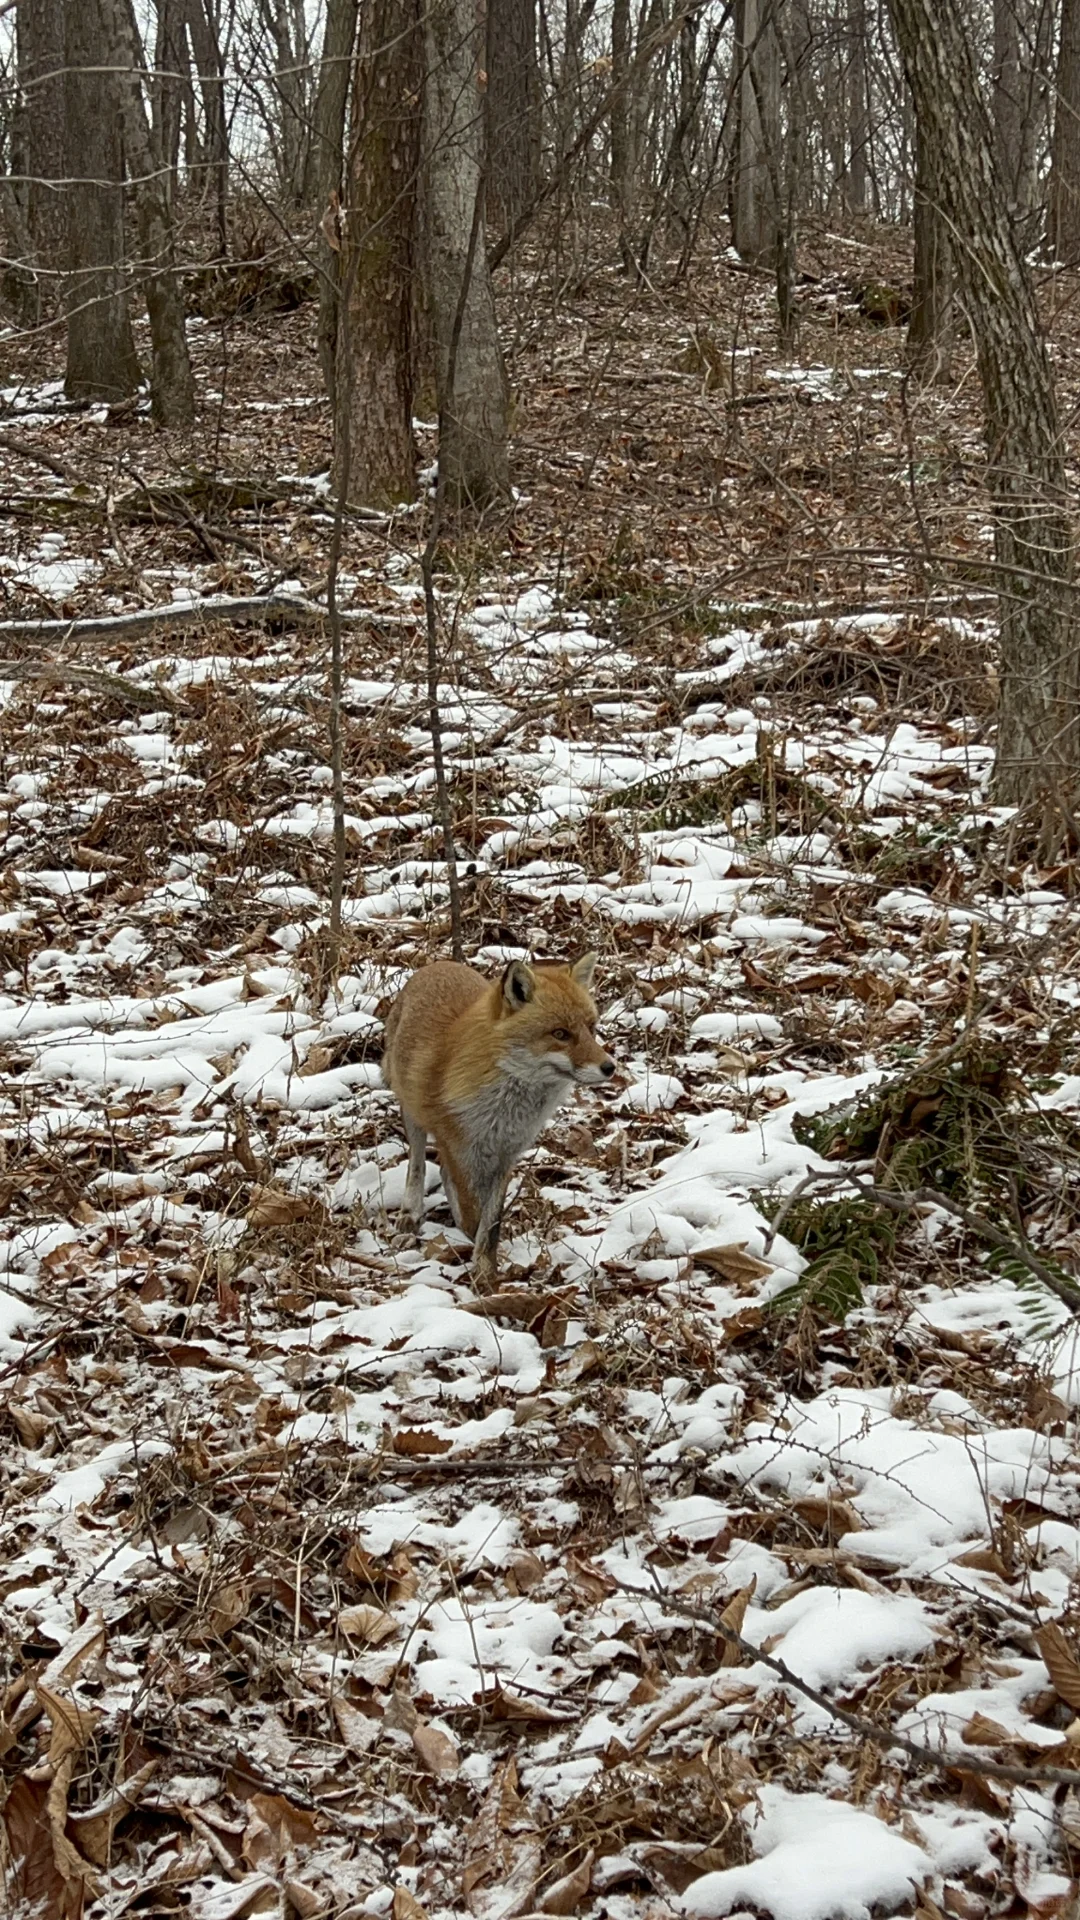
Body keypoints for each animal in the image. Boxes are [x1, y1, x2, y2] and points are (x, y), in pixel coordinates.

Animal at [382, 948, 611, 1282]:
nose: (610, 1067)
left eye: (591, 1028)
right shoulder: (459, 1147)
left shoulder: (505, 1154)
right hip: (412, 1112)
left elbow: (491, 1223)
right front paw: (478, 1257)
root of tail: (438, 965)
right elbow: (474, 1215)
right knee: (418, 1166)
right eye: (560, 1034)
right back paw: (410, 1214)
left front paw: (487, 1272)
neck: (506, 1110)